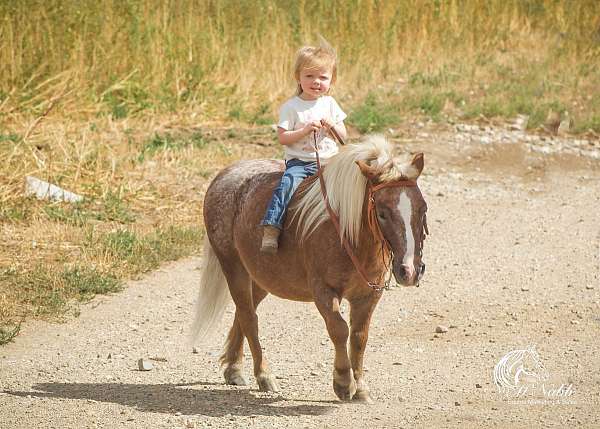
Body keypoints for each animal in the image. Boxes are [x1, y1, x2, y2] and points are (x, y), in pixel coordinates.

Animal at [192, 136, 426, 402]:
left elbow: (359, 337)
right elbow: (339, 330)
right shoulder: (323, 291)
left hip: (261, 278)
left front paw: (361, 388)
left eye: (423, 208)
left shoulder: (369, 294)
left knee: (243, 314)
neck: (346, 233)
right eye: (383, 213)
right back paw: (264, 376)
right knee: (249, 317)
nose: (410, 271)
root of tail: (224, 176)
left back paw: (233, 369)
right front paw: (343, 383)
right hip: (233, 268)